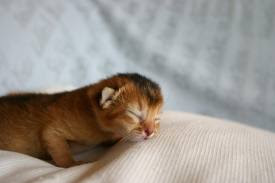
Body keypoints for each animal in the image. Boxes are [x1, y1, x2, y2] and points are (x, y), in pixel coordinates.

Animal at [0, 72, 164, 167]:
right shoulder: (53, 130)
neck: (90, 112)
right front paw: (72, 164)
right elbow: (59, 148)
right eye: (134, 114)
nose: (150, 132)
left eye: (156, 119)